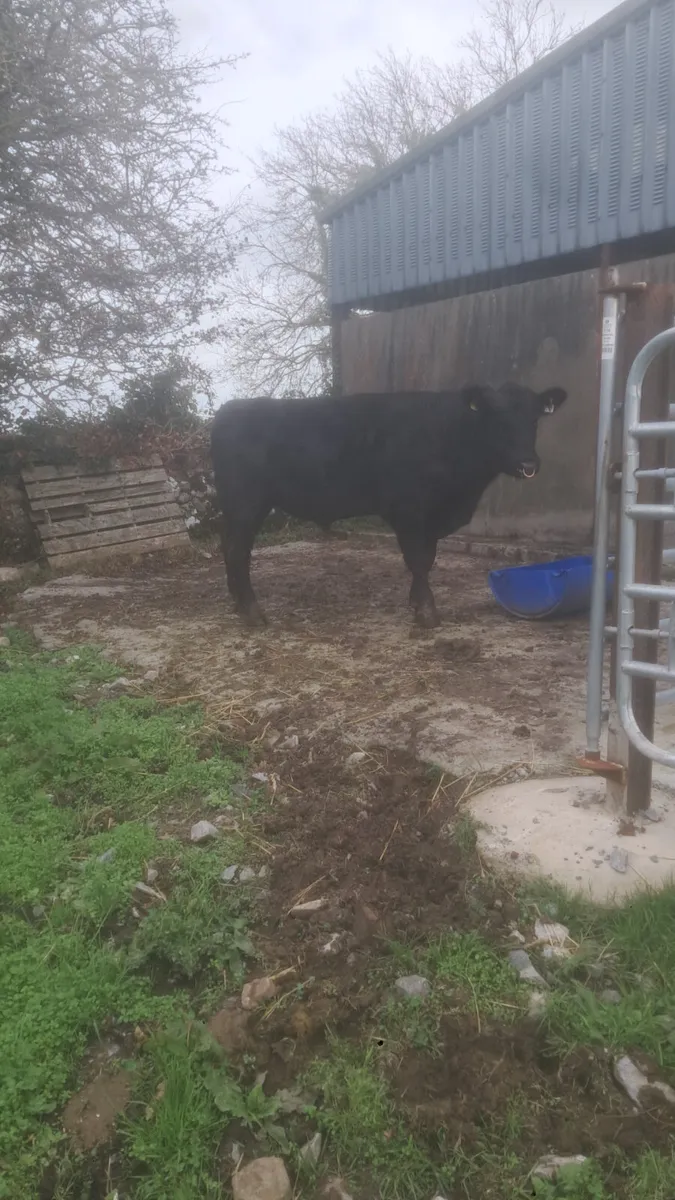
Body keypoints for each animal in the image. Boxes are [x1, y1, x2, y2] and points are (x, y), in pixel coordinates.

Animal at [211, 383, 567, 628]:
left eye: (535, 420)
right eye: (498, 420)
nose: (528, 464)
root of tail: (228, 410)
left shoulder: (431, 518)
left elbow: (428, 559)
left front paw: (415, 601)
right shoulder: (409, 510)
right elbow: (418, 560)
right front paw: (427, 612)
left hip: (236, 509)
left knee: (228, 548)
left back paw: (237, 604)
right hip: (246, 504)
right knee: (238, 552)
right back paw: (253, 613)